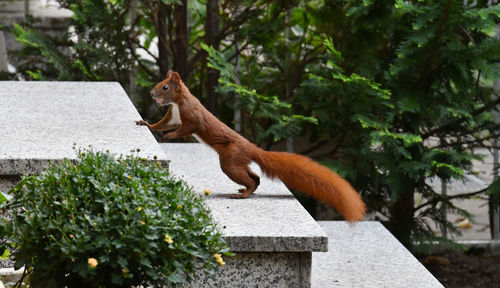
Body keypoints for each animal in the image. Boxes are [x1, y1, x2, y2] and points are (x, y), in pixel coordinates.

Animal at [136, 71, 364, 222]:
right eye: (159, 83)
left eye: (165, 87)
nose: (151, 94)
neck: (178, 102)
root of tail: (252, 148)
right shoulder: (173, 116)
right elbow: (161, 124)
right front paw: (146, 124)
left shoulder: (192, 117)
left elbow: (186, 128)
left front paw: (169, 136)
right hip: (237, 162)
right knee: (255, 178)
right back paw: (246, 190)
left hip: (230, 160)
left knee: (249, 178)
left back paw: (242, 194)